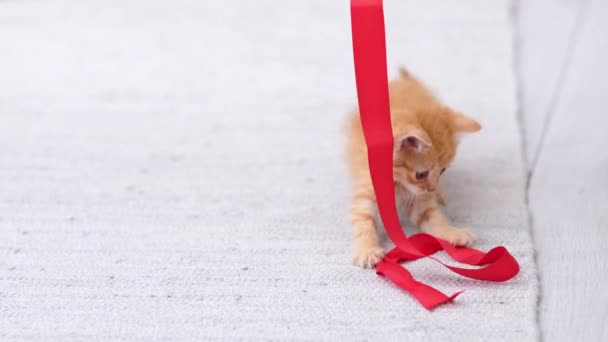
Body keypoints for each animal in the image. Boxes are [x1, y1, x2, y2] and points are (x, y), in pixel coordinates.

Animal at [346, 68, 480, 268]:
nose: (431, 189)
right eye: (420, 174)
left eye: (443, 171)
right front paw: (367, 249)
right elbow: (363, 218)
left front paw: (452, 232)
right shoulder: (367, 186)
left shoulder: (419, 199)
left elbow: (432, 217)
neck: (397, 182)